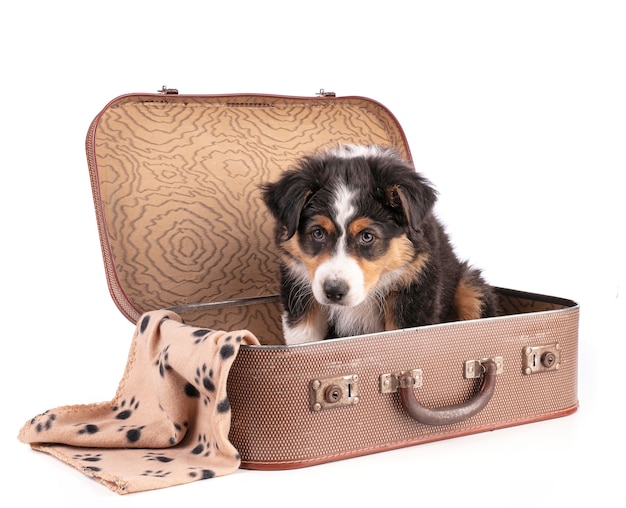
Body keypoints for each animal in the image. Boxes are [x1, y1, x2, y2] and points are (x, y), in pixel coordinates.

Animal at [260, 144, 500, 346]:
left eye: (367, 236)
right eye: (318, 233)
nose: (334, 291)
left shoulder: (413, 292)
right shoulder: (299, 290)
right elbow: (302, 340)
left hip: (470, 285)